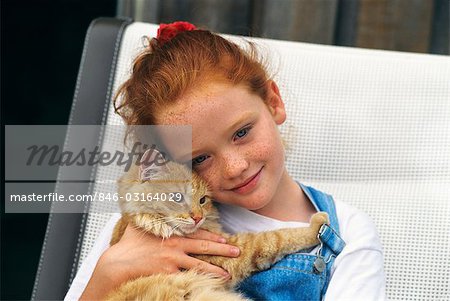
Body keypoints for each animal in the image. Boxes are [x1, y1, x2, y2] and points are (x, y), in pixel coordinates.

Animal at [107, 150, 328, 300]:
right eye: (177, 197)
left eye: (203, 200)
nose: (197, 217)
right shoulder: (235, 253)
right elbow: (279, 237)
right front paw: (317, 224)